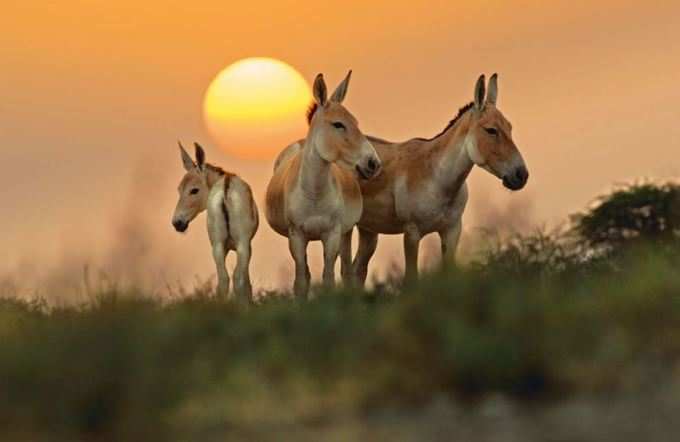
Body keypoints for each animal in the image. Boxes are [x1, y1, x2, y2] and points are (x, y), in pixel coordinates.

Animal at [171, 143, 258, 298]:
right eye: (179, 189)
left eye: (194, 190)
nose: (177, 223)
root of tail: (225, 188)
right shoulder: (246, 245)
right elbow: (246, 281)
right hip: (240, 244)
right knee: (237, 278)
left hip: (218, 245)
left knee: (224, 279)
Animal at [266, 71, 382, 296]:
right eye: (338, 124)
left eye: (356, 122)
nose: (373, 163)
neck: (314, 193)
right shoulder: (296, 236)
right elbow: (301, 281)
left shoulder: (332, 234)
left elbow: (329, 278)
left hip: (346, 232)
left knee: (346, 269)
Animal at [354, 74, 528, 282]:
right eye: (491, 130)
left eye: (510, 127)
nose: (521, 175)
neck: (438, 179)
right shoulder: (412, 232)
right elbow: (411, 278)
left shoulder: (452, 231)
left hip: (368, 229)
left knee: (356, 270)